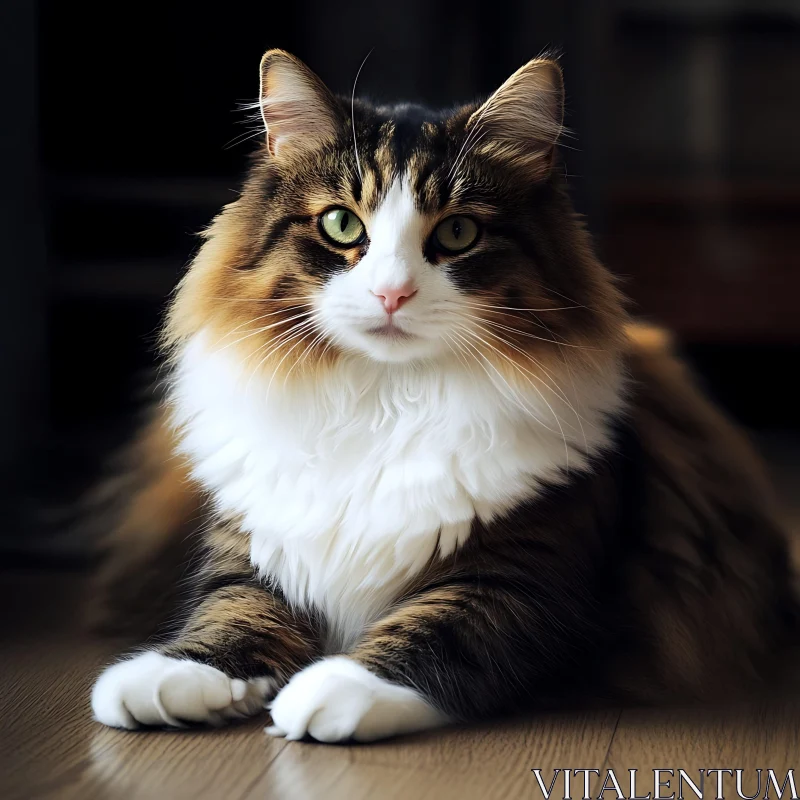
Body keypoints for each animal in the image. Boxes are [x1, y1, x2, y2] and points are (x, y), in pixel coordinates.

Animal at [87, 51, 792, 744]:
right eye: (342, 223)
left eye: (456, 234)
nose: (391, 293)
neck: (384, 400)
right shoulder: (256, 544)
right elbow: (233, 606)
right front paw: (176, 675)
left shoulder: (523, 572)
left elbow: (440, 629)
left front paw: (334, 690)